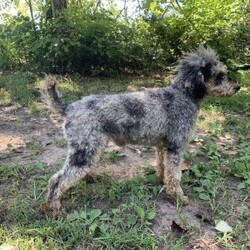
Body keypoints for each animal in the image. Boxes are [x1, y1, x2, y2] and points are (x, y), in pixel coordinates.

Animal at [40, 46, 240, 214]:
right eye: (220, 75)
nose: (237, 86)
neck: (183, 95)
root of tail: (69, 108)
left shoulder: (163, 145)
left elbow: (163, 166)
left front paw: (161, 180)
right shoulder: (175, 146)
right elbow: (175, 175)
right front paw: (177, 197)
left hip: (92, 147)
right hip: (85, 149)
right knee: (57, 180)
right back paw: (53, 207)